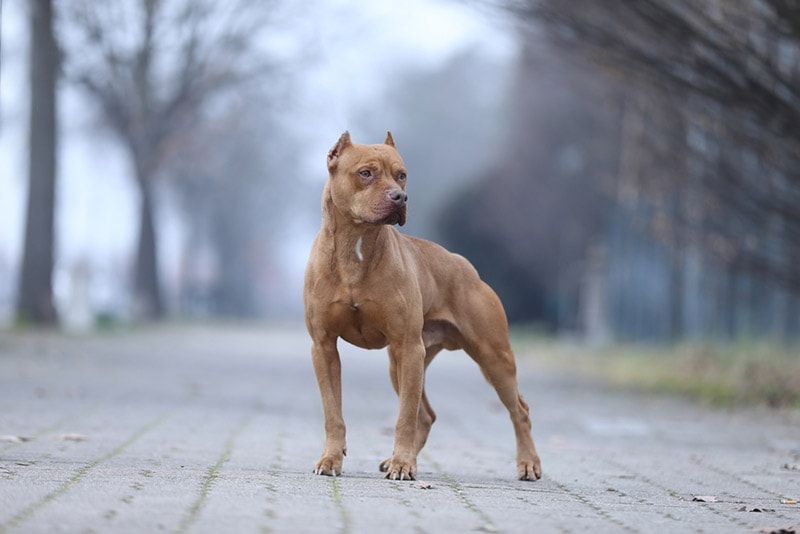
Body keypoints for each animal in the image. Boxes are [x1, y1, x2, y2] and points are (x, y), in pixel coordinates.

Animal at [304, 132, 540, 484]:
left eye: (402, 175)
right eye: (366, 173)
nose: (400, 197)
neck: (355, 246)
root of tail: (466, 267)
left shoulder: (408, 345)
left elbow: (405, 416)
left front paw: (404, 465)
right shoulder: (324, 346)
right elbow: (333, 412)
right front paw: (331, 459)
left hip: (490, 356)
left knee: (518, 410)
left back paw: (528, 464)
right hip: (401, 362)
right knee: (426, 415)